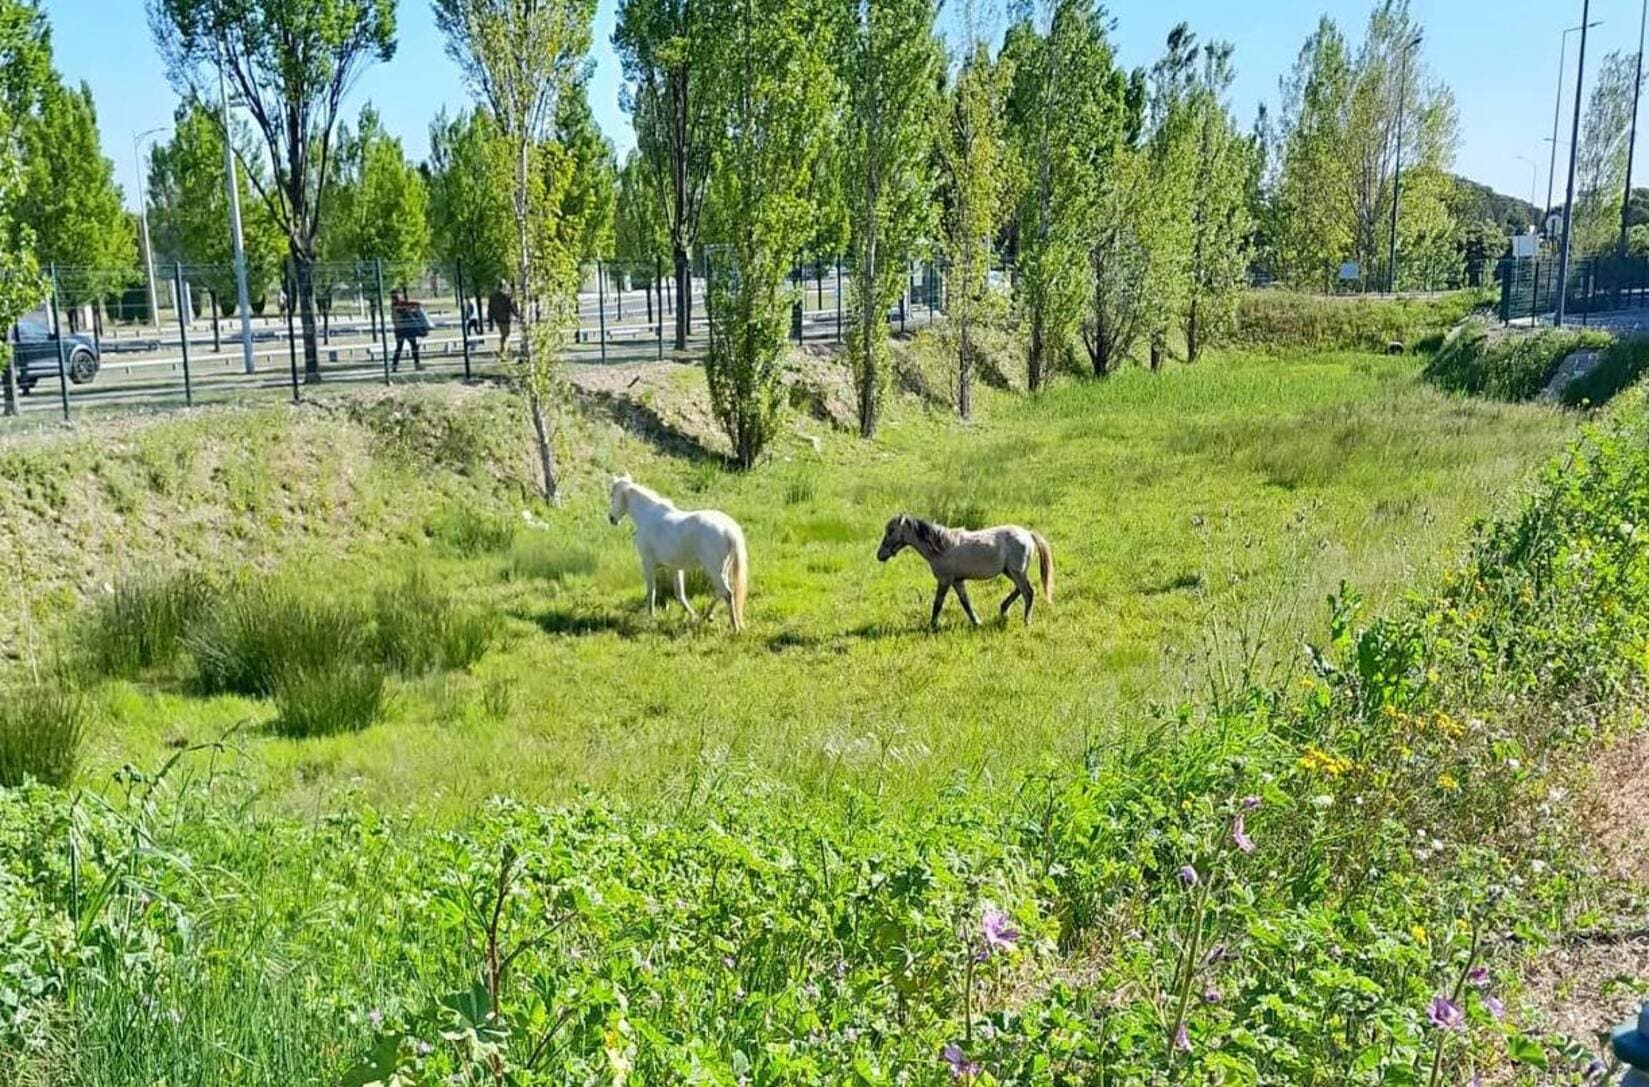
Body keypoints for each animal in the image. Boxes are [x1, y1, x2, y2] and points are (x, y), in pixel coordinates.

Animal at [613, 478, 755, 636]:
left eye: (612, 495)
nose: (612, 519)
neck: (648, 516)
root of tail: (728, 529)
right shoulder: (675, 567)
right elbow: (679, 593)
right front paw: (692, 615)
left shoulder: (647, 563)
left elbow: (652, 591)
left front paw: (651, 616)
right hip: (723, 569)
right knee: (720, 592)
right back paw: (707, 616)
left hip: (713, 570)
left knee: (727, 593)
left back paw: (734, 627)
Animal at [877, 517, 1055, 630]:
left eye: (891, 531)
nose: (879, 555)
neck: (941, 547)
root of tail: (1028, 533)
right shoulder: (957, 581)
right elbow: (966, 603)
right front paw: (977, 622)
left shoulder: (945, 580)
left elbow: (937, 604)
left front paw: (932, 626)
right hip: (1010, 572)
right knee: (1021, 590)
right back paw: (1004, 611)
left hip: (1016, 572)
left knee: (1028, 592)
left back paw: (1026, 621)